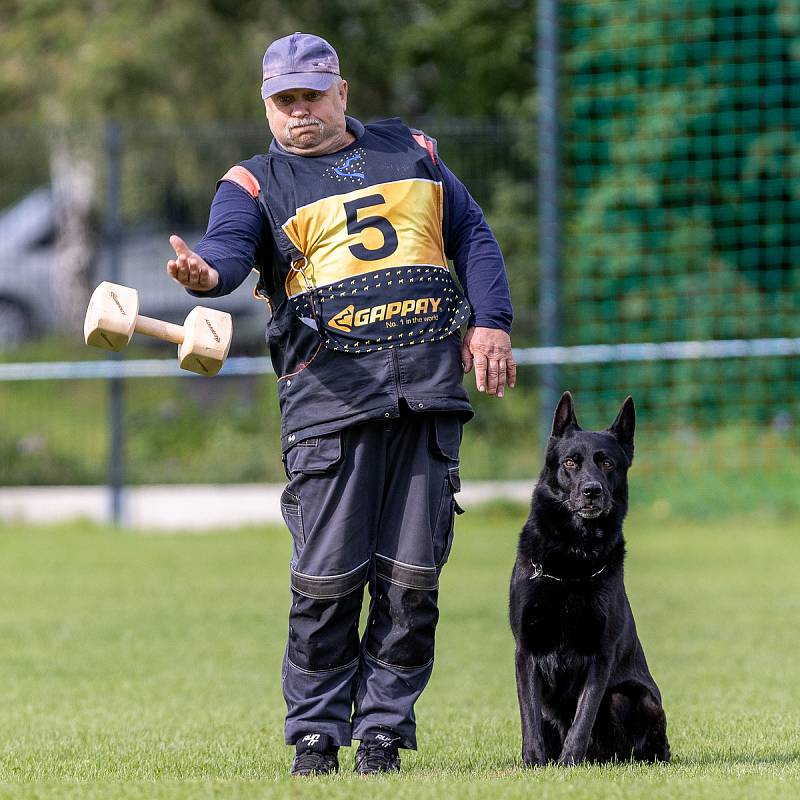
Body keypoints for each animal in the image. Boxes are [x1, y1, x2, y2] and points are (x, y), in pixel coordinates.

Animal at [510, 394, 672, 768]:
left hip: (633, 695)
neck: (572, 562)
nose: (591, 491)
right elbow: (529, 716)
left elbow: (583, 718)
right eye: (570, 462)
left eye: (607, 463)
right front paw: (534, 763)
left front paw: (567, 763)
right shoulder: (526, 652)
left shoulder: (600, 655)